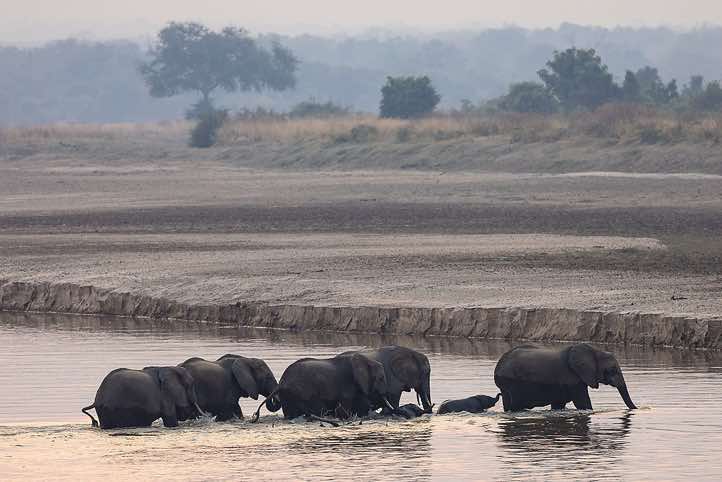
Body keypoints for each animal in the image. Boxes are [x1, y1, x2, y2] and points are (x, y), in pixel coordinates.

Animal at [261, 353, 393, 420]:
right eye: (381, 378)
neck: (365, 360)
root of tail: (281, 383)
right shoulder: (347, 384)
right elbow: (344, 409)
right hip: (303, 392)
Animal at [494, 343, 637, 412]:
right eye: (613, 370)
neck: (595, 350)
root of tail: (498, 365)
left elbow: (558, 404)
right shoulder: (572, 379)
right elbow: (583, 403)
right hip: (511, 383)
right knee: (515, 405)